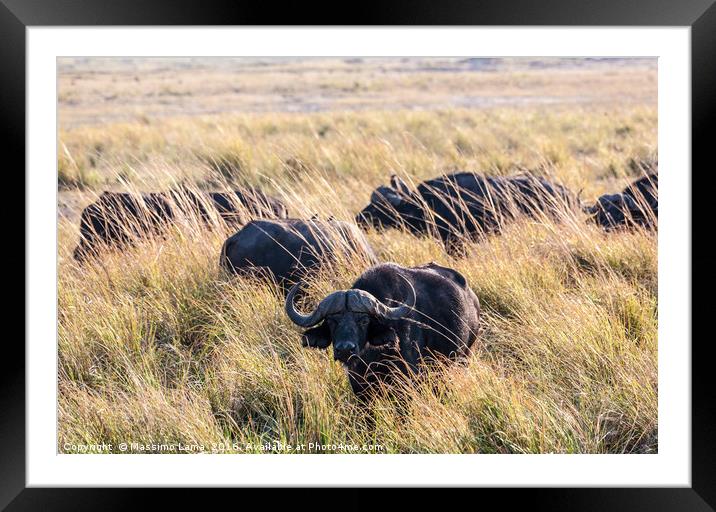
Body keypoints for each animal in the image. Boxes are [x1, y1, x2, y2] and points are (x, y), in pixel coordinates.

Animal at [286, 262, 482, 398]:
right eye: (332, 321)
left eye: (364, 320)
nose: (345, 349)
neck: (372, 358)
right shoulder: (360, 388)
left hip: (464, 356)